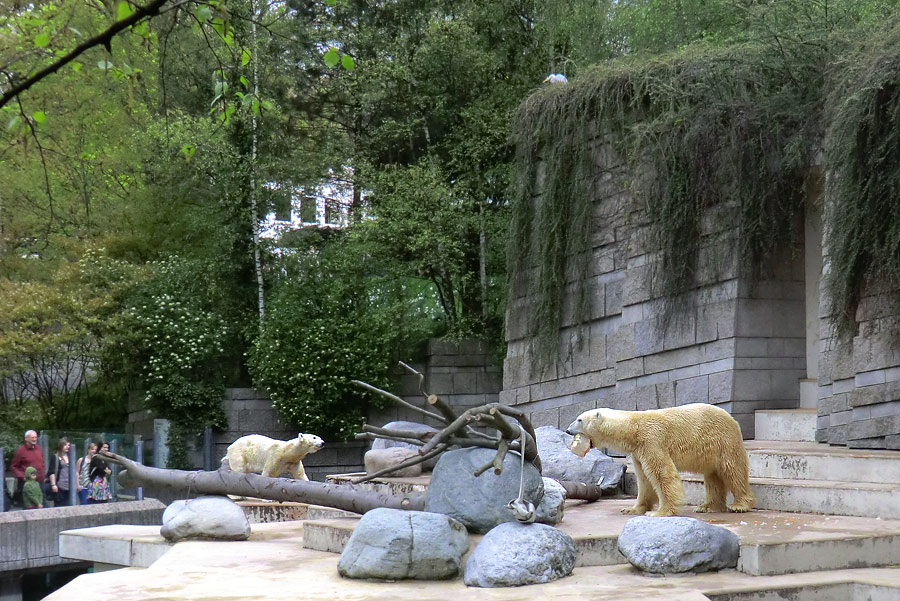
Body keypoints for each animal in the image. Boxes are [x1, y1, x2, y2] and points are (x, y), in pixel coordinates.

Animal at [568, 404, 752, 516]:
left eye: (579, 419)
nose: (568, 430)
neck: (634, 427)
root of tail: (732, 419)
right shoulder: (638, 452)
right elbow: (644, 480)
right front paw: (631, 509)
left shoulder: (652, 440)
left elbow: (662, 474)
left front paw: (659, 512)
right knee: (713, 476)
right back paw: (707, 506)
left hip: (724, 441)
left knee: (733, 470)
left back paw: (739, 505)